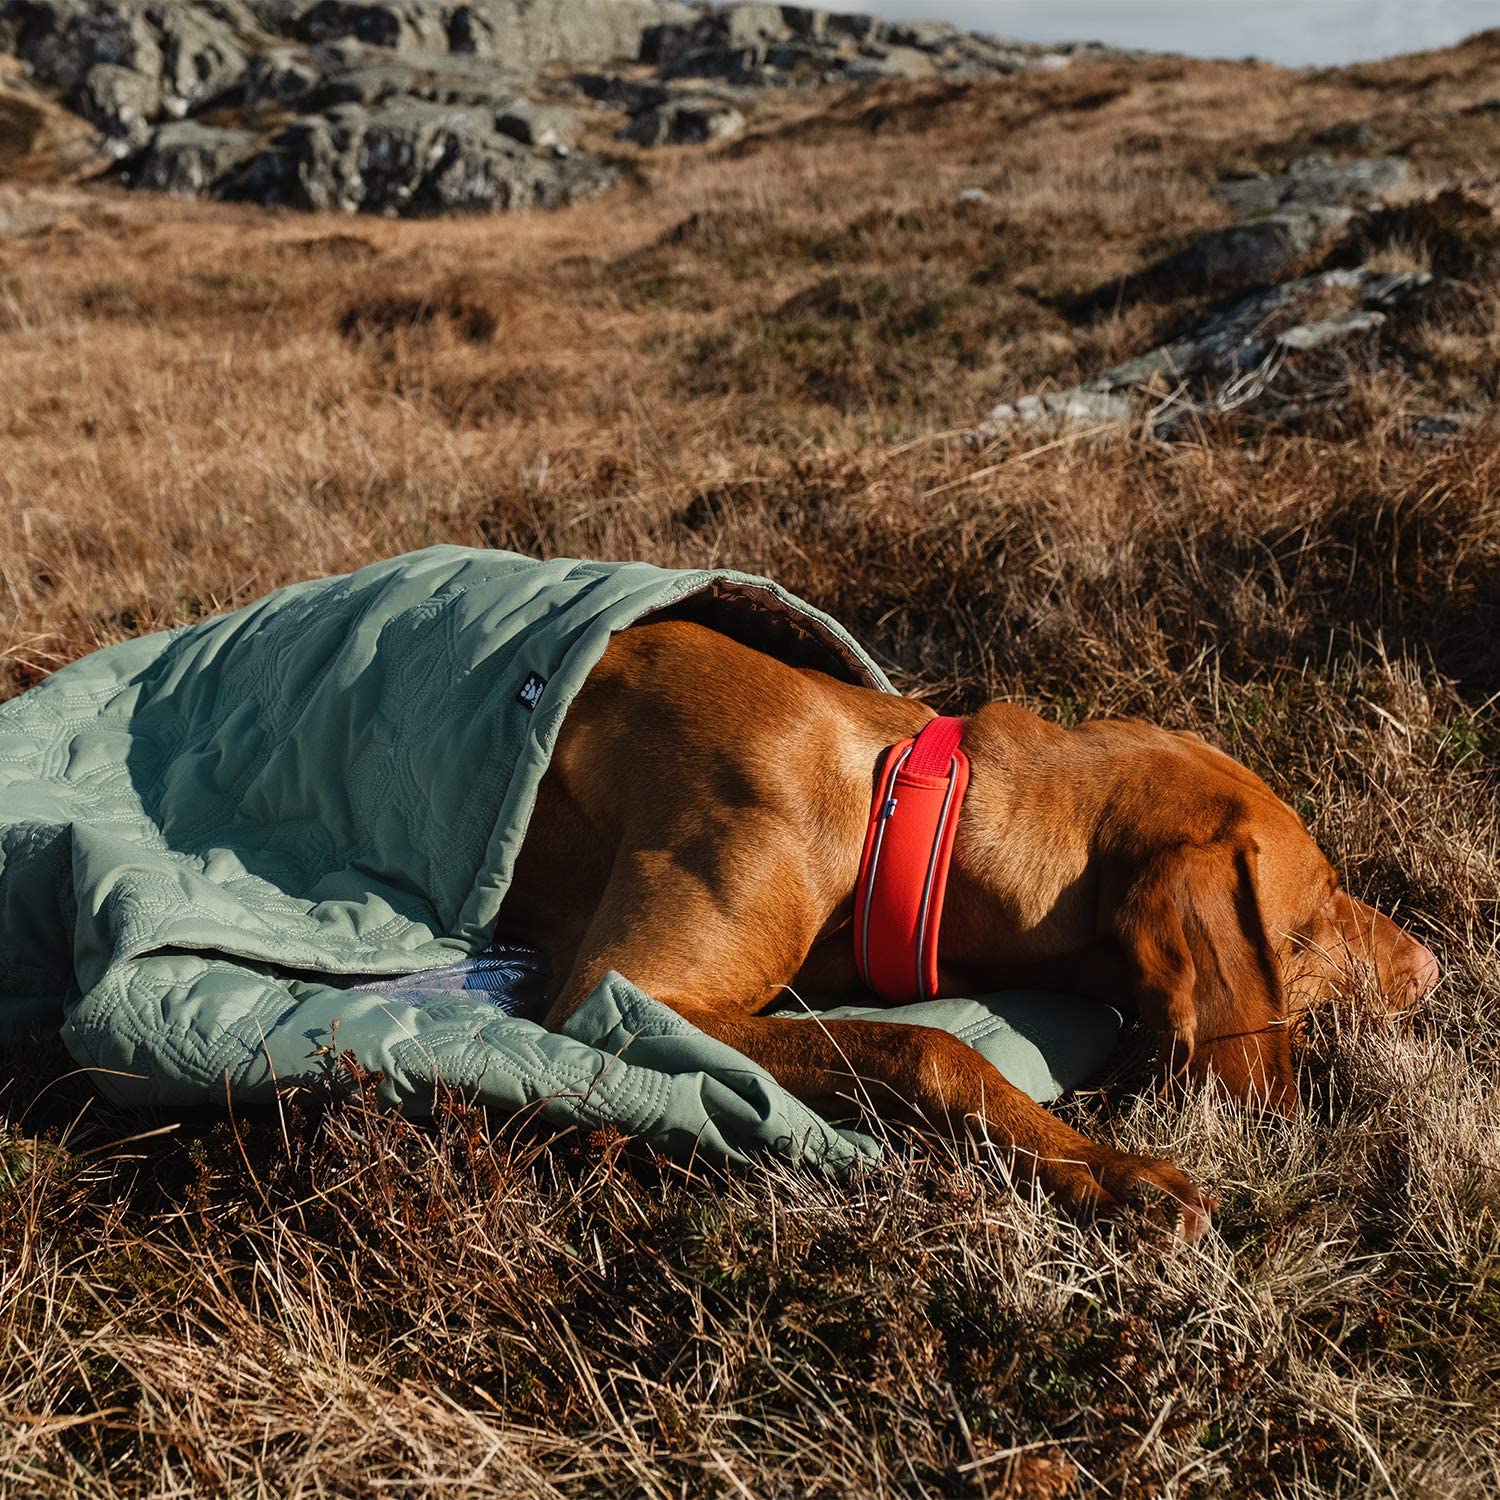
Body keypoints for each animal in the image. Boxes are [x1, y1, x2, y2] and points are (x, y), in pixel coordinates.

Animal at [504, 615, 1440, 1236]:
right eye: (1317, 909)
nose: (1433, 967)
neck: (894, 809)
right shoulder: (618, 999)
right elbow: (929, 1046)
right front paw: (1113, 1171)